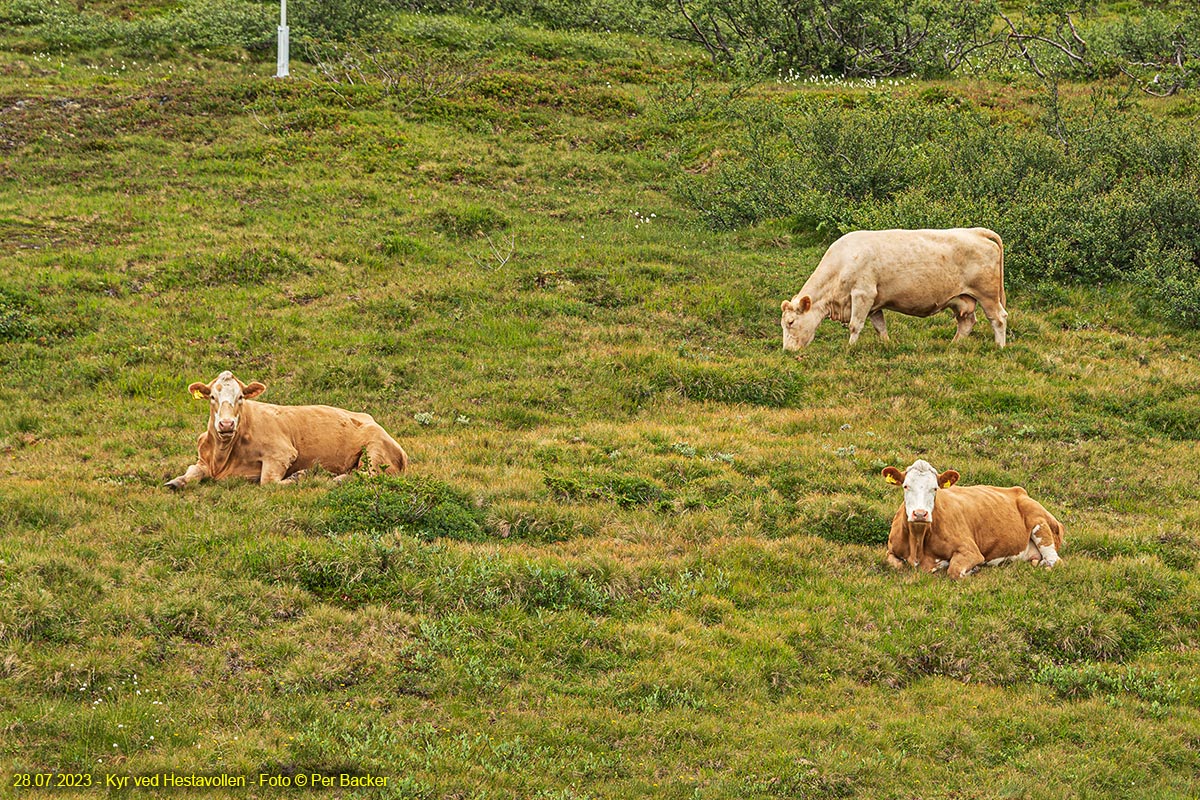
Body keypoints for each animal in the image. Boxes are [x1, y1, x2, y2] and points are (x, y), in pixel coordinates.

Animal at [164, 371, 410, 491]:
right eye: (212, 397)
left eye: (240, 397)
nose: (226, 424)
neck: (222, 458)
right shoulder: (202, 460)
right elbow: (192, 472)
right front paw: (176, 481)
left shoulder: (281, 453)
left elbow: (268, 482)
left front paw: (298, 476)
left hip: (374, 449)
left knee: (369, 475)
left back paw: (335, 479)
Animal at [782, 226, 1008, 347]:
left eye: (791, 322)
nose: (787, 351)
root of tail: (975, 232)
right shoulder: (874, 303)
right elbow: (879, 326)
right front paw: (886, 344)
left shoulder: (863, 294)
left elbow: (855, 325)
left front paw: (850, 348)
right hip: (962, 299)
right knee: (967, 322)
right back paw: (954, 345)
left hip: (987, 295)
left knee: (998, 318)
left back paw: (1000, 346)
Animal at [878, 460, 1065, 578]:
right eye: (906, 486)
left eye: (935, 488)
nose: (919, 514)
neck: (918, 543)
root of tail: (1019, 491)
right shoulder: (891, 551)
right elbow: (896, 564)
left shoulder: (970, 551)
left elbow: (954, 570)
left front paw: (971, 570)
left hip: (1039, 522)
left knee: (1055, 561)